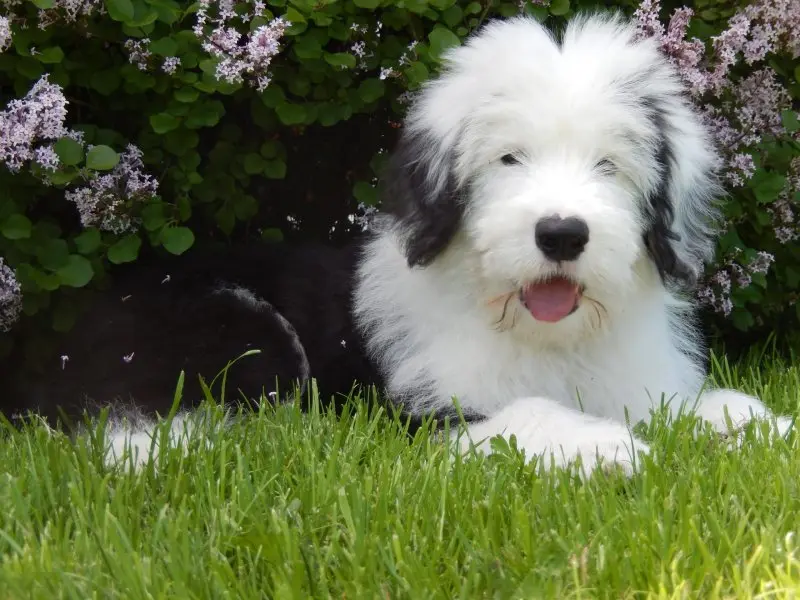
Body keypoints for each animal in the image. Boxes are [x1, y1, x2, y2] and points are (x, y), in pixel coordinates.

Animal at [1, 12, 792, 474]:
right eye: (508, 159)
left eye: (610, 165)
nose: (562, 234)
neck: (541, 338)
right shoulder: (416, 412)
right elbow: (521, 415)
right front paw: (605, 446)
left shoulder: (637, 381)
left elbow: (702, 404)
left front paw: (762, 427)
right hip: (226, 328)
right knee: (136, 436)